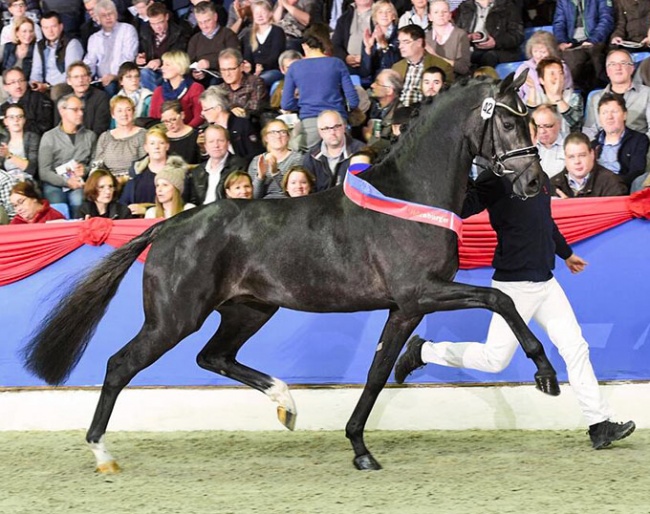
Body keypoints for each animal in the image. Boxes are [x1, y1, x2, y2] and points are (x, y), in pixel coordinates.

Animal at [22, 71, 560, 473]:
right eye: (508, 122)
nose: (535, 181)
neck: (411, 197)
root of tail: (169, 223)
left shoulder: (403, 308)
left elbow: (378, 372)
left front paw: (360, 449)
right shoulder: (421, 293)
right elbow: (500, 299)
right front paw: (547, 374)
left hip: (249, 310)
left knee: (212, 357)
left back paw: (287, 403)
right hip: (174, 318)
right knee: (120, 365)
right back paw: (102, 453)